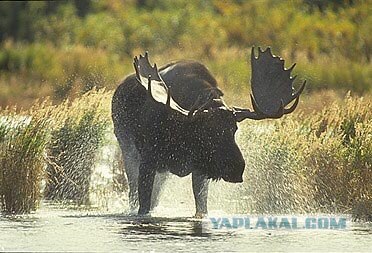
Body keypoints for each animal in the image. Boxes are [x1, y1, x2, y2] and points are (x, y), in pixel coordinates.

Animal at [112, 48, 306, 217]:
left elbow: (201, 208)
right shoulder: (148, 160)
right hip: (128, 149)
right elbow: (143, 207)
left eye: (234, 129)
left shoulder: (200, 169)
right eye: (207, 131)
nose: (236, 167)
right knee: (132, 190)